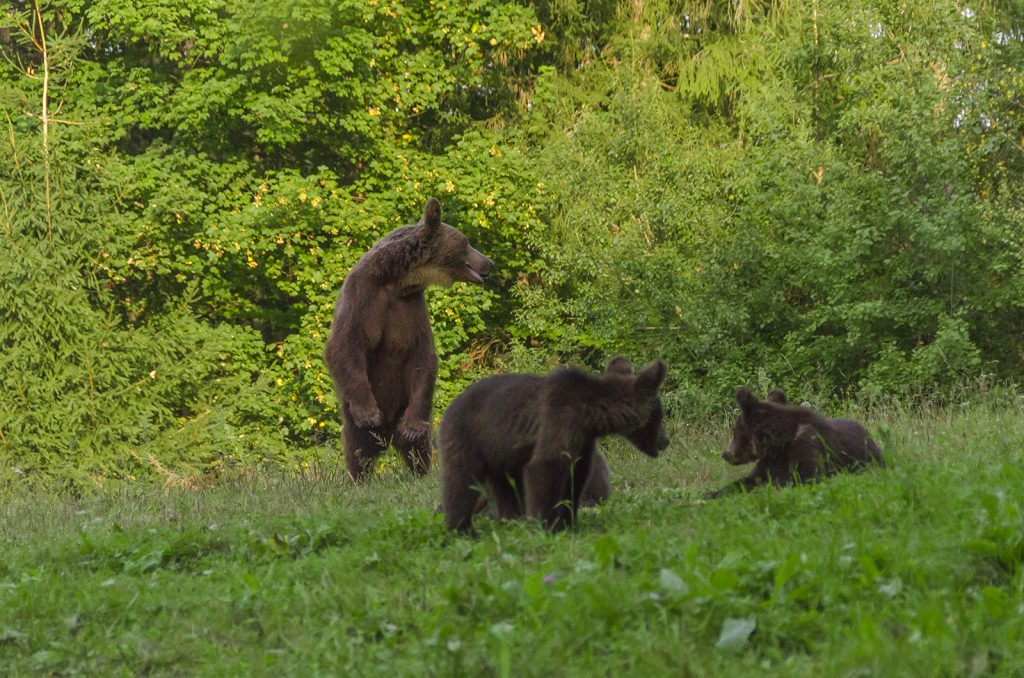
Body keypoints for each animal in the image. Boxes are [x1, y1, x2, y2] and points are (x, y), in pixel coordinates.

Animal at [321, 199, 493, 481]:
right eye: (466, 242)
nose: (489, 262)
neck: (397, 280)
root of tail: (388, 431)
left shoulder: (411, 309)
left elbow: (422, 356)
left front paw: (413, 430)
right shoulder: (363, 296)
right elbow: (346, 343)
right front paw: (368, 412)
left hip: (405, 403)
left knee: (416, 445)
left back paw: (419, 470)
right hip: (359, 417)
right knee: (359, 445)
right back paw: (359, 476)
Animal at [708, 387, 884, 499]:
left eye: (735, 433)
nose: (725, 454)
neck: (779, 444)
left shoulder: (807, 446)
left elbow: (804, 478)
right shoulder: (770, 461)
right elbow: (750, 479)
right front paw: (712, 493)